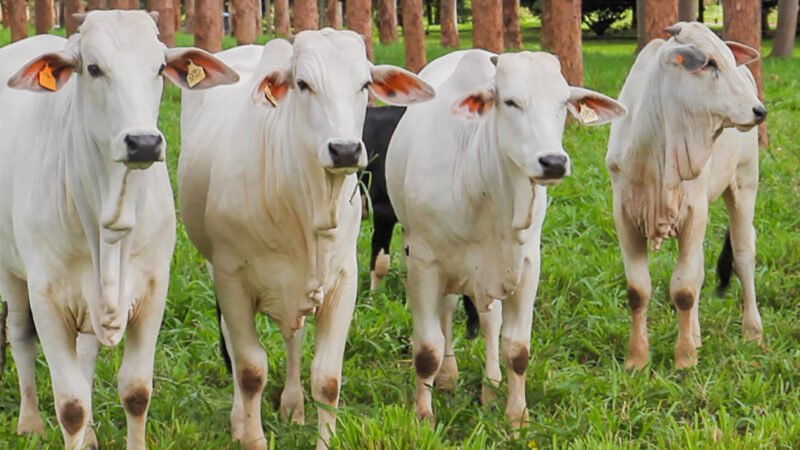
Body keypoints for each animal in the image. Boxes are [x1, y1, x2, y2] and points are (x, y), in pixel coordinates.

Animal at [0, 11, 238, 449]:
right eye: (94, 68)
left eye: (159, 68)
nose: (143, 142)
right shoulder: (47, 297)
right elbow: (70, 405)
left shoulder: (153, 291)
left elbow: (135, 391)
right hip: (12, 271)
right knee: (20, 334)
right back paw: (29, 422)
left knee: (86, 353)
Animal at [177, 29, 434, 449]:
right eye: (302, 84)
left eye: (365, 85)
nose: (345, 149)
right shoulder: (232, 280)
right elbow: (250, 371)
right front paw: (251, 436)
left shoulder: (343, 281)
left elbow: (327, 379)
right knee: (234, 345)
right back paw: (239, 419)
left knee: (293, 336)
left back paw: (293, 405)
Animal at [385, 49, 627, 427]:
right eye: (510, 102)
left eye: (563, 103)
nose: (553, 162)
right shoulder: (423, 261)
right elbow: (427, 349)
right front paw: (422, 418)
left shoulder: (525, 265)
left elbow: (517, 348)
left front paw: (517, 418)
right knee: (446, 313)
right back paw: (449, 376)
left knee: (488, 321)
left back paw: (490, 385)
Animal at [606, 22, 767, 370]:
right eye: (709, 63)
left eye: (729, 59)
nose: (759, 110)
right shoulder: (624, 215)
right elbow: (638, 290)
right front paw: (636, 358)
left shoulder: (694, 211)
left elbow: (683, 290)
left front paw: (685, 360)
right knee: (700, 267)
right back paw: (695, 333)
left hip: (744, 181)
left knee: (744, 253)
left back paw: (752, 331)